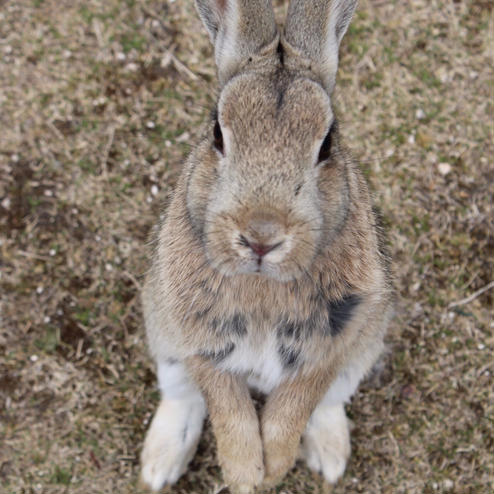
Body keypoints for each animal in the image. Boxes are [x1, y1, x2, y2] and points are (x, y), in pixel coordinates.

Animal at [140, 0, 394, 494]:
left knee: (329, 404)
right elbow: (229, 411)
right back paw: (159, 466)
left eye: (327, 143)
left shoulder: (333, 344)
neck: (261, 285)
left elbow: (294, 407)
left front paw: (274, 467)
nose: (261, 236)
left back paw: (329, 458)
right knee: (182, 397)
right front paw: (244, 475)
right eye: (217, 133)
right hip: (164, 343)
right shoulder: (198, 341)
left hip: (363, 352)